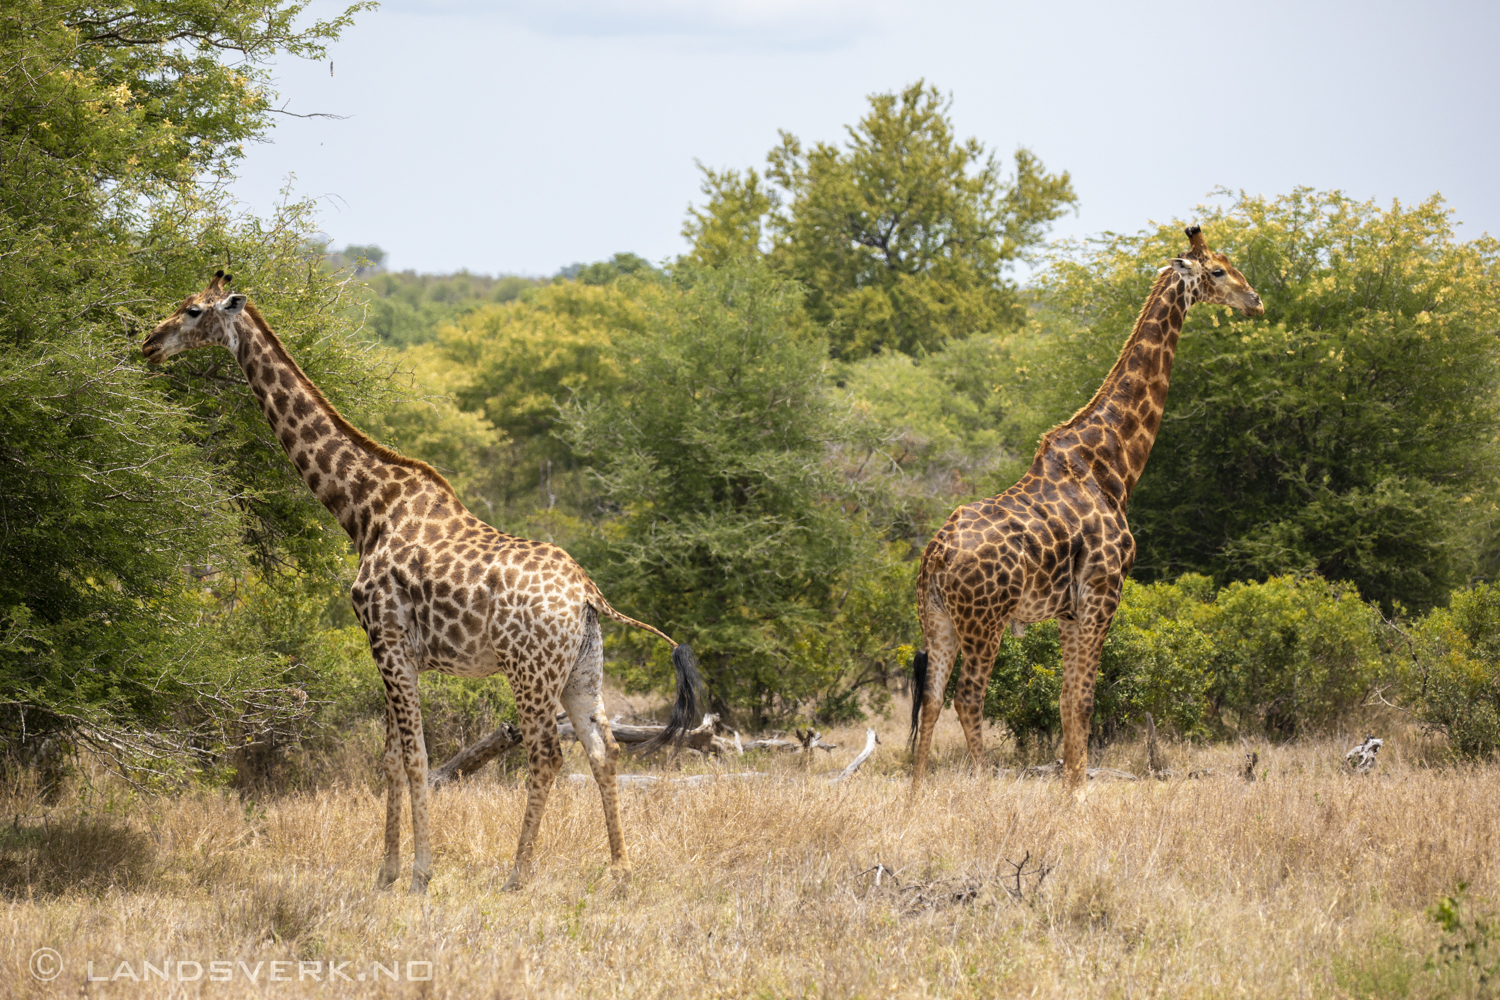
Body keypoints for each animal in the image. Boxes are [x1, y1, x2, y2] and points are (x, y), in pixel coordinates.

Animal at [141, 271, 702, 893]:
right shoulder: (390, 649)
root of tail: (587, 593)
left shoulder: (387, 641)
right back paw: (620, 870)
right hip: (583, 670)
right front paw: (385, 872)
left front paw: (419, 873)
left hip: (529, 672)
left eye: (193, 311)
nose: (148, 343)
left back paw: (518, 874)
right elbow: (390, 759)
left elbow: (417, 759)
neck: (365, 510)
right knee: (604, 751)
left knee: (546, 755)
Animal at [900, 226, 1266, 797]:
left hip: (935, 616)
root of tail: (934, 557)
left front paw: (1070, 788)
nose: (1255, 300)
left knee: (933, 698)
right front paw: (1079, 794)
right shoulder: (1102, 594)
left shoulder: (1071, 611)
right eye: (1219, 270)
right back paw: (981, 788)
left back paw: (917, 796)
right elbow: (1086, 701)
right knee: (969, 697)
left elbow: (1066, 701)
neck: (1111, 464)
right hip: (985, 618)